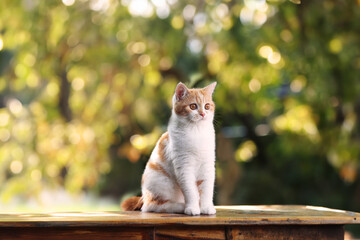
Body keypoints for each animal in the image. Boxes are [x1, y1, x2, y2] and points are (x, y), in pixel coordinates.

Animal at [121, 82, 217, 216]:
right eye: (193, 106)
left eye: (207, 106)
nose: (203, 114)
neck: (196, 131)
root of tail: (143, 196)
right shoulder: (183, 166)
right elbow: (190, 190)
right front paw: (192, 208)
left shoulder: (207, 165)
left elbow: (207, 189)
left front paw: (206, 207)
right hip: (162, 183)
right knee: (152, 206)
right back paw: (181, 206)